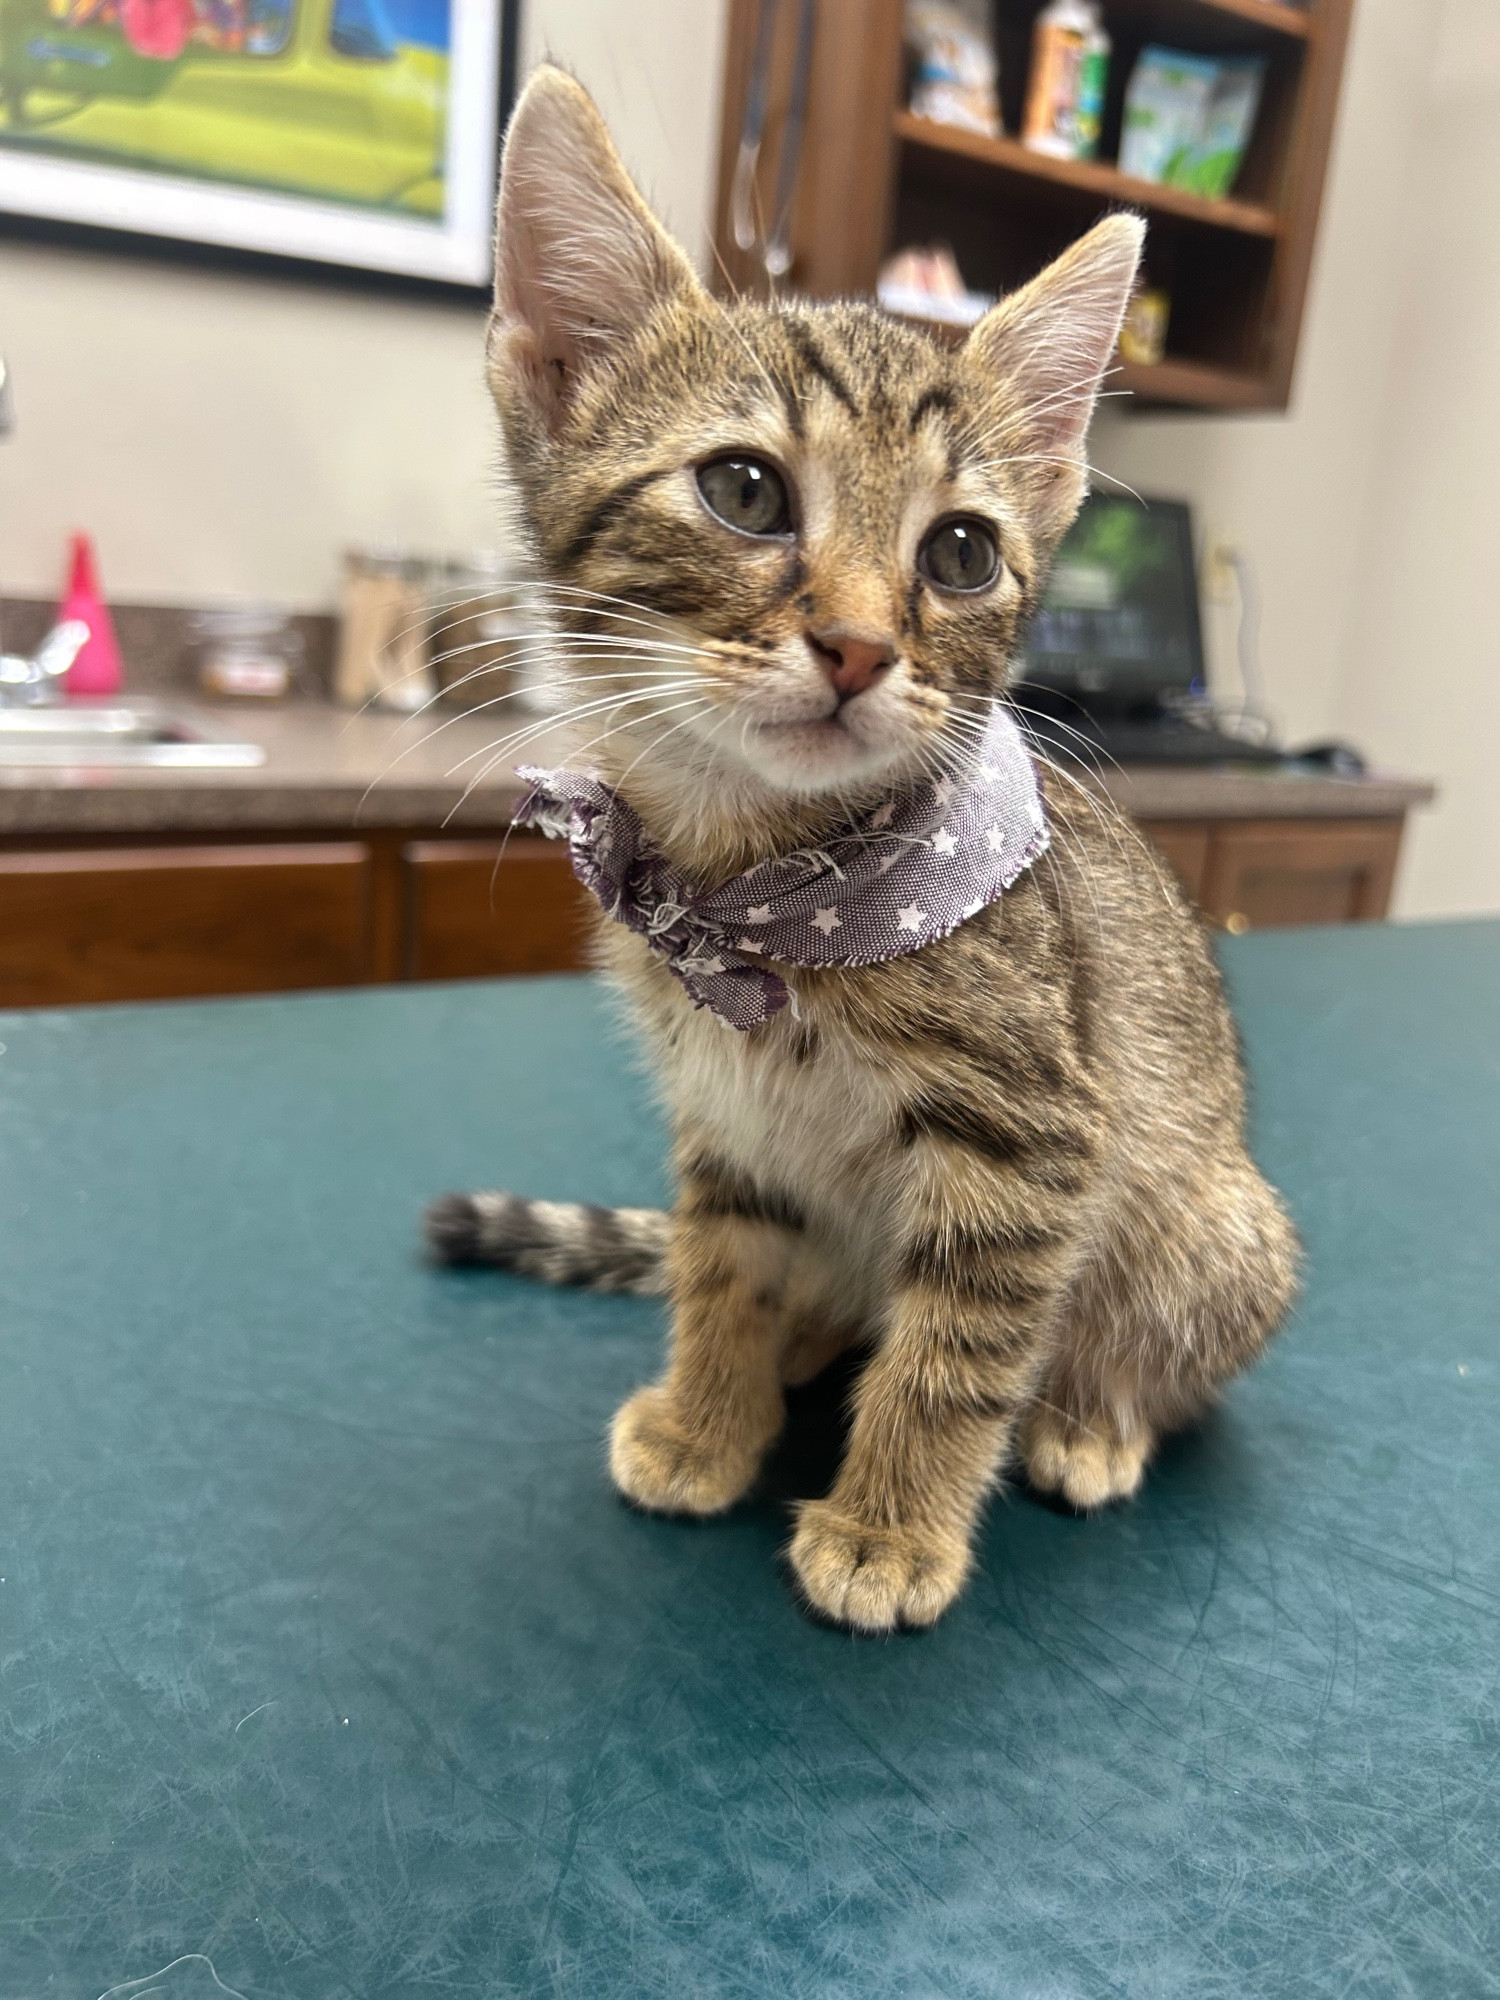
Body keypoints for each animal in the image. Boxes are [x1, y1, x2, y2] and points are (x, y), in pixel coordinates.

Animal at [426, 70, 1304, 1632]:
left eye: (960, 554)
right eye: (743, 490)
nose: (855, 645)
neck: (754, 886)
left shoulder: (1035, 1139)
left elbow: (958, 1351)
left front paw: (892, 1524)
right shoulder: (728, 1119)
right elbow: (724, 1264)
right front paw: (708, 1413)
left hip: (1221, 1227)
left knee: (1152, 1351)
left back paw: (1093, 1415)